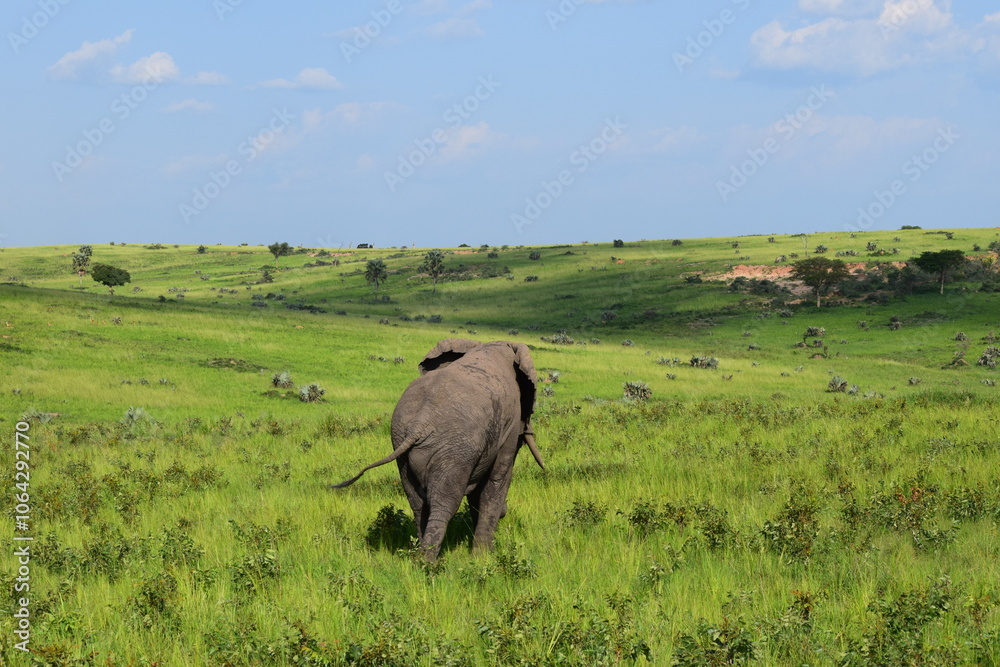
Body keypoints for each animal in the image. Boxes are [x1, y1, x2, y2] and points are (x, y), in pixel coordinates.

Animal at [332, 339, 544, 560]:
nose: (506, 511)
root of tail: (420, 422)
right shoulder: (509, 426)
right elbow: (497, 479)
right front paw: (484, 558)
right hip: (454, 451)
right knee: (444, 503)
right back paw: (428, 563)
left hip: (404, 443)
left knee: (418, 503)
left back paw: (419, 558)